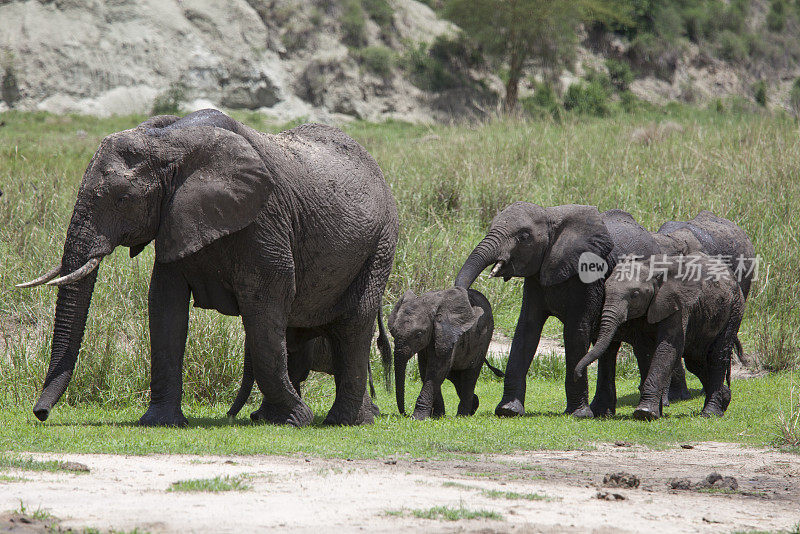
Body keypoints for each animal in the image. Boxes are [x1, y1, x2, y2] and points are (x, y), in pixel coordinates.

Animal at [21, 110, 400, 432]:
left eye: (123, 199)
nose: (40, 413)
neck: (171, 140)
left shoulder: (265, 220)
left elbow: (265, 308)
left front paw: (297, 419)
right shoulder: (175, 219)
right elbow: (164, 308)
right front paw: (160, 423)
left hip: (381, 241)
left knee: (353, 322)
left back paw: (343, 422)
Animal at [386, 286, 500, 420]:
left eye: (419, 334)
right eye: (392, 333)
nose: (404, 414)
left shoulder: (448, 334)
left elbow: (436, 370)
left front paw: (419, 418)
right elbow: (426, 370)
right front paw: (437, 416)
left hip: (484, 339)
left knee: (470, 376)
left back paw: (463, 415)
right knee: (455, 376)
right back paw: (474, 405)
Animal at [576, 253, 744, 420]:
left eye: (635, 294)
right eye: (605, 291)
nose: (577, 374)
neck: (652, 269)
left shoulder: (678, 304)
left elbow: (667, 348)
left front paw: (644, 413)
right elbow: (645, 351)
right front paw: (656, 412)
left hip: (734, 309)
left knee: (717, 356)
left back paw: (711, 413)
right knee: (695, 361)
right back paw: (725, 398)